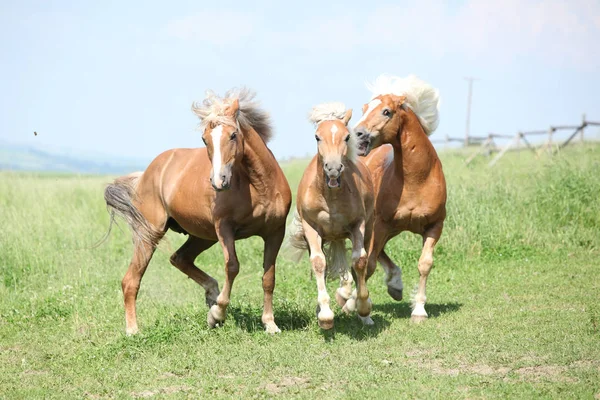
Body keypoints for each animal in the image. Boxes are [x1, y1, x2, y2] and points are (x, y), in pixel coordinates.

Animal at [104, 87, 292, 334]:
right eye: (205, 139)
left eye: (233, 135)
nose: (219, 181)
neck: (259, 186)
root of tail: (146, 174)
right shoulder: (225, 228)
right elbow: (232, 266)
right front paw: (217, 314)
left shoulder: (275, 231)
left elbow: (269, 277)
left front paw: (270, 324)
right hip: (151, 233)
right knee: (131, 280)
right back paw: (133, 331)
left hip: (202, 236)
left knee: (179, 258)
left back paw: (211, 293)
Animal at [288, 102, 376, 328]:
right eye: (317, 137)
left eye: (347, 137)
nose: (334, 168)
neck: (331, 196)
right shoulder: (311, 228)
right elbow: (319, 263)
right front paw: (325, 315)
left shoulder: (358, 225)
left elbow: (359, 261)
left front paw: (364, 308)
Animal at [352, 75, 446, 324]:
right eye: (364, 109)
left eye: (386, 111)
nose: (356, 134)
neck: (417, 180)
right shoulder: (380, 224)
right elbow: (369, 264)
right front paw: (354, 304)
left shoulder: (435, 226)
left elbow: (425, 264)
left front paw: (419, 311)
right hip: (376, 226)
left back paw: (395, 285)